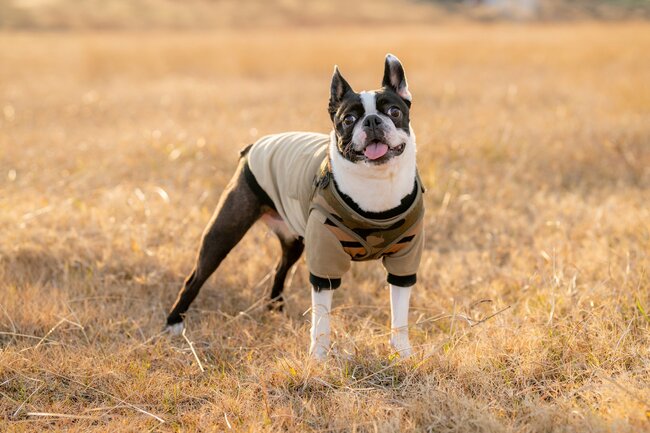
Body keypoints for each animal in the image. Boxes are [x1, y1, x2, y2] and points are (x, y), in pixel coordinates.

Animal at [165, 54, 422, 358]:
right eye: (348, 119)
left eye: (394, 112)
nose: (371, 121)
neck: (377, 183)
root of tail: (255, 144)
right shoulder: (324, 261)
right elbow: (321, 319)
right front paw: (319, 357)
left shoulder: (404, 261)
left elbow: (399, 315)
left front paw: (403, 354)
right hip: (224, 232)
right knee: (195, 277)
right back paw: (174, 323)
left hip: (294, 240)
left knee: (279, 269)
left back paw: (275, 309)